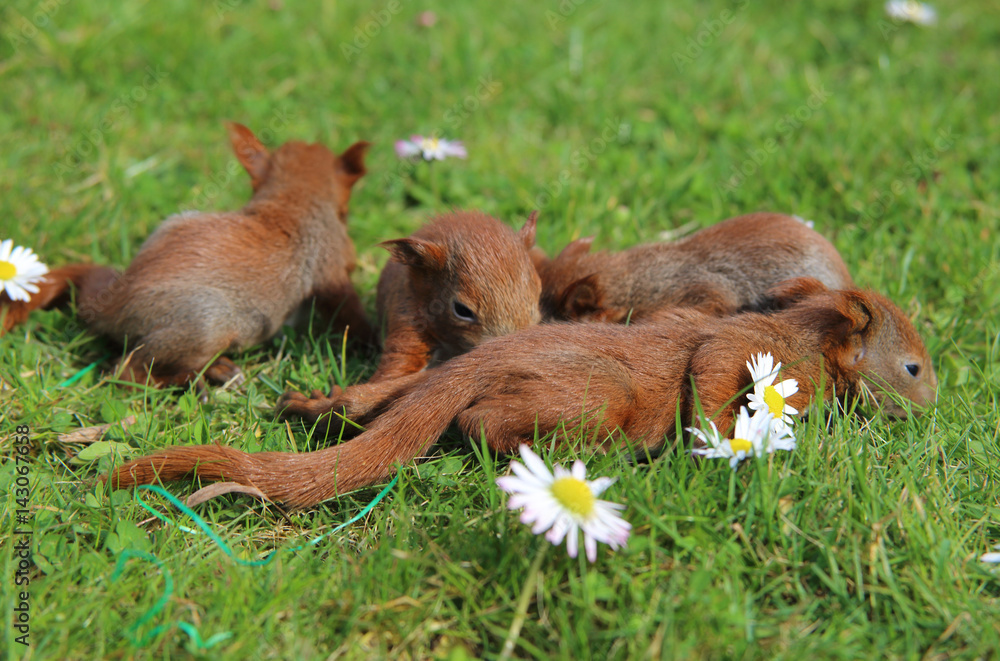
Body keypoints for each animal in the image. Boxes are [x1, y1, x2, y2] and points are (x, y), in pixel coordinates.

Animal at [2, 123, 374, 388]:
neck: (290, 201)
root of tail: (109, 307)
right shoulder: (332, 266)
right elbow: (348, 310)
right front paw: (369, 344)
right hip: (207, 322)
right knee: (125, 373)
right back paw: (189, 380)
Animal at [107, 277, 937, 508]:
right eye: (914, 368)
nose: (937, 405)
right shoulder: (734, 348)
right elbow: (708, 378)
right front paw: (717, 451)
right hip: (595, 396)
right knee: (480, 420)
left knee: (376, 402)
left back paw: (314, 406)